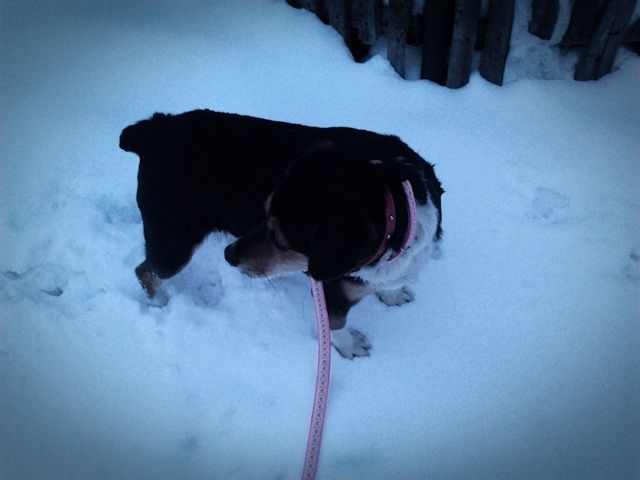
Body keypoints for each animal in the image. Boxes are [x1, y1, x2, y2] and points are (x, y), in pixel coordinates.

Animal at [120, 109, 443, 358]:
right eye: (264, 214)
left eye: (282, 242)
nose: (228, 255)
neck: (397, 206)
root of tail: (157, 129)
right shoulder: (331, 293)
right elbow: (336, 326)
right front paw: (350, 347)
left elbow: (389, 284)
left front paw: (392, 294)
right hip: (174, 241)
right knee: (145, 271)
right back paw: (160, 304)